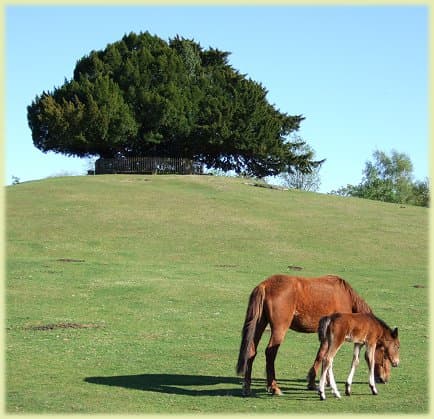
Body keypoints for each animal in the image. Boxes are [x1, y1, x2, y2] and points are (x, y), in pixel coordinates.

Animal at [236, 276, 392, 398]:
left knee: (251, 351)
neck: (345, 296)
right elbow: (322, 356)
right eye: (385, 355)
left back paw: (247, 387)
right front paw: (315, 382)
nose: (385, 379)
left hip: (260, 324)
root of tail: (265, 284)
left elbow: (322, 356)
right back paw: (274, 387)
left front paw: (325, 382)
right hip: (279, 329)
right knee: (270, 353)